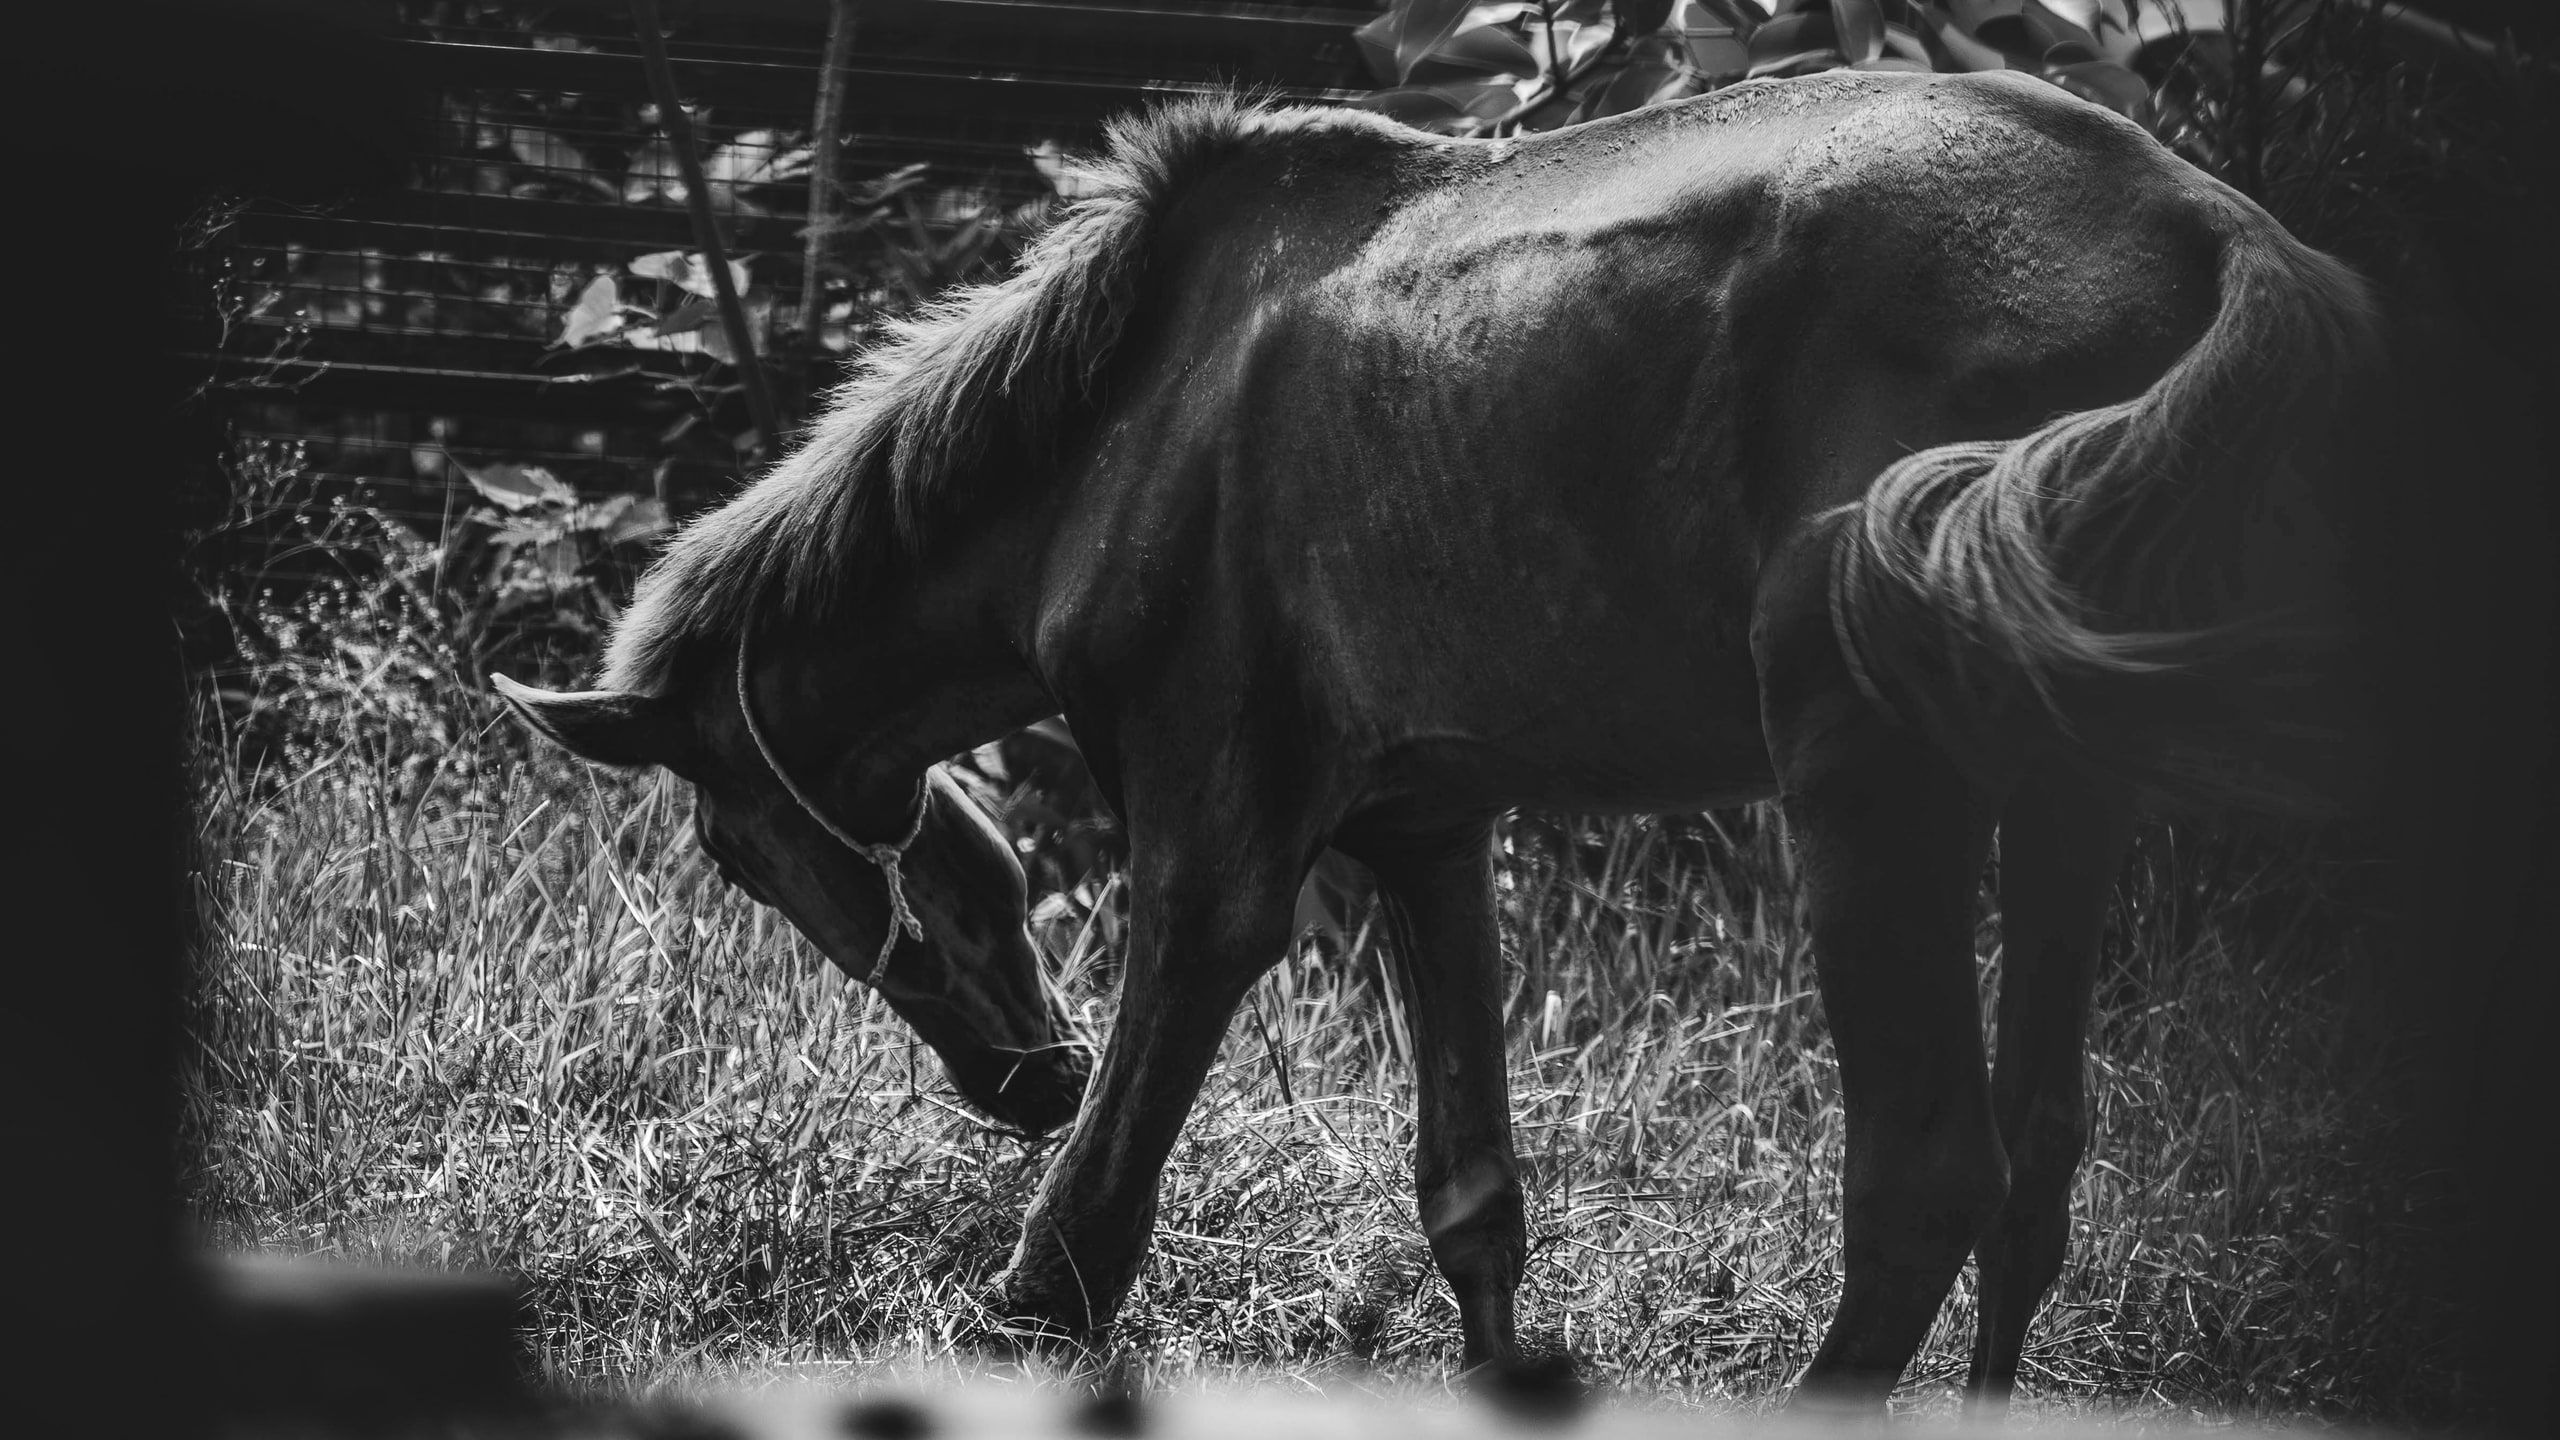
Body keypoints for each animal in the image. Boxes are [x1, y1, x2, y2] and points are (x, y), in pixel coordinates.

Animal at [498, 70, 2375, 1412]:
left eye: (741, 855)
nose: (1020, 1079)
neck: (1132, 415)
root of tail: (2216, 229)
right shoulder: (1425, 827)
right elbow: (1471, 1192)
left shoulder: (1216, 856)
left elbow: (1094, 1220)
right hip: (2063, 795)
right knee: (2041, 1174)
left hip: (1874, 795)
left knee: (1926, 1182)